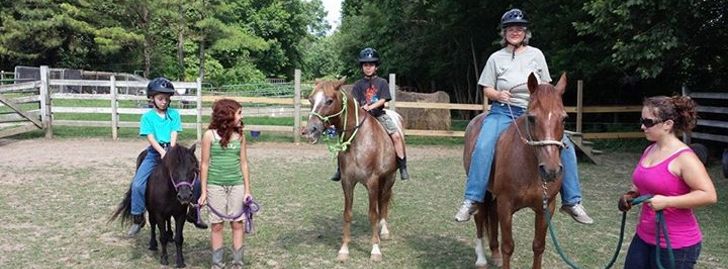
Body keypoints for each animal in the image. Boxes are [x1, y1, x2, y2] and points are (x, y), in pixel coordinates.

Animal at [466, 73, 568, 268]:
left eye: (564, 118)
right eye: (532, 118)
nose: (550, 170)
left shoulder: (546, 208)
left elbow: (538, 246)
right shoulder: (506, 205)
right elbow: (508, 246)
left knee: (492, 215)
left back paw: (495, 254)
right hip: (483, 193)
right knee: (479, 218)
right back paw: (481, 258)